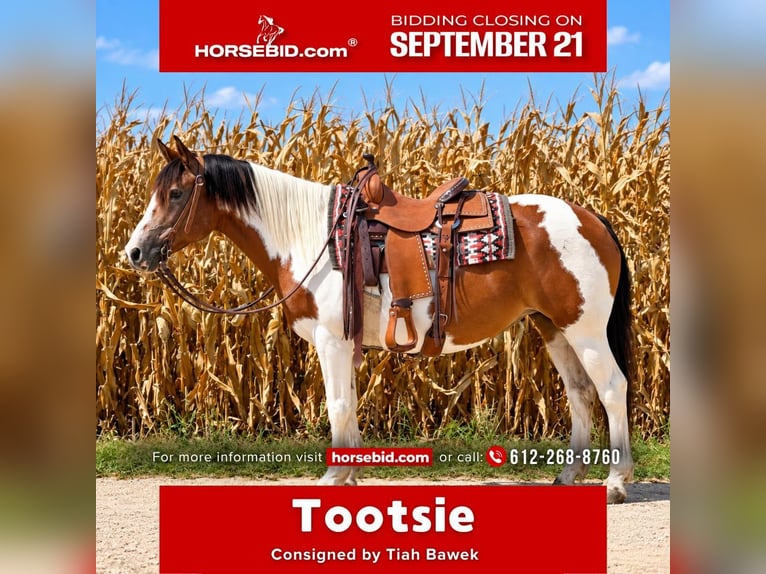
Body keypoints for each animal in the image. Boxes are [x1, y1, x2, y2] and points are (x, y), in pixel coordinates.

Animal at [125, 136, 635, 504]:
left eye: (175, 193)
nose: (134, 252)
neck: (311, 237)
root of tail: (592, 218)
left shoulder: (331, 341)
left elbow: (338, 406)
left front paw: (333, 478)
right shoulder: (345, 344)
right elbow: (349, 406)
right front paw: (349, 476)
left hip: (586, 330)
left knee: (612, 388)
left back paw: (615, 481)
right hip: (554, 328)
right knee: (579, 392)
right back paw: (569, 474)